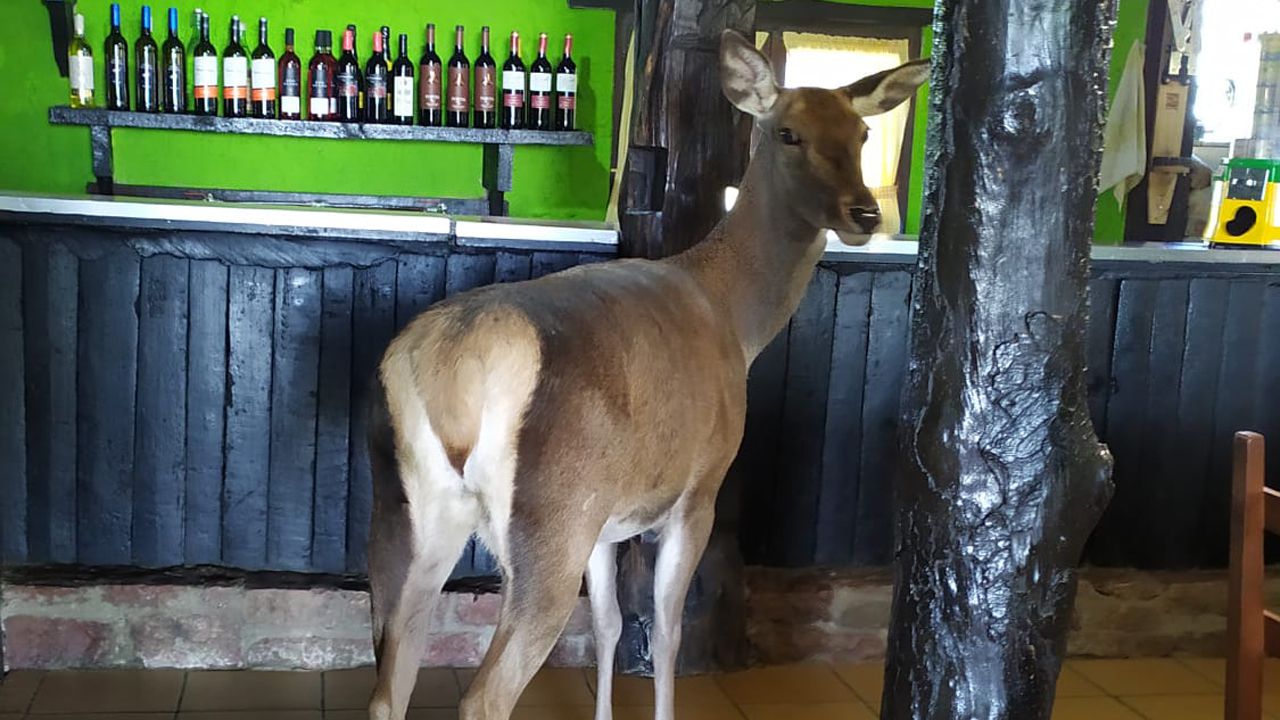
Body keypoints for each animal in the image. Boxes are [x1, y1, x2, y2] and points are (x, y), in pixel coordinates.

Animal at [366, 30, 926, 717]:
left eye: (863, 134)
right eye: (788, 132)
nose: (865, 214)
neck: (737, 323)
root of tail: (451, 375)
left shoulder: (610, 520)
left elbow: (609, 623)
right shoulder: (700, 488)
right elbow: (665, 630)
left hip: (402, 515)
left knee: (387, 688)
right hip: (551, 519)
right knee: (483, 697)